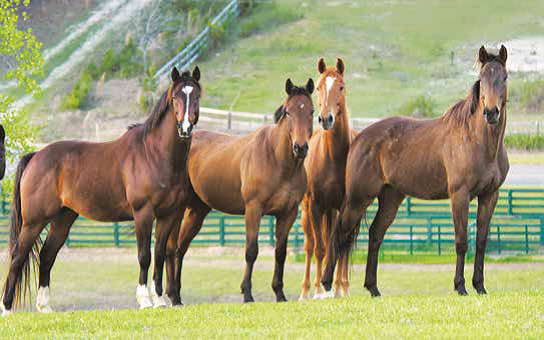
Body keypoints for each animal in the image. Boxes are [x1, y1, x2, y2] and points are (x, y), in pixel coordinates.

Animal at [1, 67, 201, 316]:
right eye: (175, 97)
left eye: (197, 96)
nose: (186, 127)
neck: (153, 154)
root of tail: (35, 156)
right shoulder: (143, 214)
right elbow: (144, 256)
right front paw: (145, 300)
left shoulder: (168, 215)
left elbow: (160, 255)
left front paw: (160, 300)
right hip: (34, 221)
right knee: (18, 257)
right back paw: (7, 308)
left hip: (63, 219)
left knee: (47, 256)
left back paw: (45, 307)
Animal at [166, 78, 314, 304]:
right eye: (289, 112)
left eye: (312, 111)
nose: (300, 147)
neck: (277, 160)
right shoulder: (253, 209)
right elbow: (251, 251)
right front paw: (247, 294)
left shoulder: (288, 213)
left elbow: (280, 253)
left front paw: (279, 294)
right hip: (179, 210)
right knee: (170, 247)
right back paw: (169, 295)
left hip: (197, 211)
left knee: (180, 249)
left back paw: (177, 296)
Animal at [320, 45, 508, 298]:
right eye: (482, 78)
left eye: (504, 78)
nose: (491, 112)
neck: (477, 140)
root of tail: (359, 138)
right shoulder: (459, 196)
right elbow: (461, 242)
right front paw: (460, 286)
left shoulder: (490, 195)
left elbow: (481, 241)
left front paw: (479, 286)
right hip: (358, 199)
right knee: (339, 232)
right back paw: (326, 284)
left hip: (391, 198)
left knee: (375, 234)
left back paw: (373, 288)